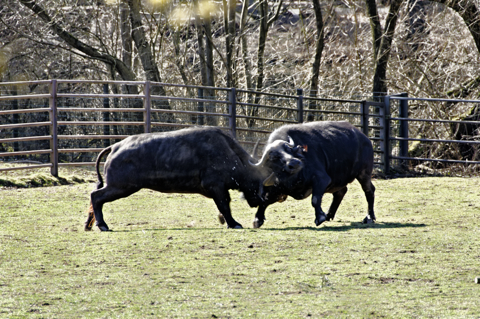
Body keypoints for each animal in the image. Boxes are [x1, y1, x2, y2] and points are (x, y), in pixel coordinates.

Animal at [85, 127, 266, 232]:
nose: (258, 201)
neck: (227, 152)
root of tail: (114, 147)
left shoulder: (218, 190)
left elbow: (223, 206)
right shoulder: (216, 187)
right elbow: (225, 206)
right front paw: (233, 223)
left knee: (94, 196)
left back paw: (89, 224)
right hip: (121, 187)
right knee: (96, 196)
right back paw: (102, 225)